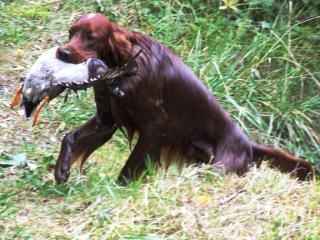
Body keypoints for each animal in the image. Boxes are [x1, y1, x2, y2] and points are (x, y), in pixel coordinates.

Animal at [53, 13, 316, 184]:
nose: (62, 52)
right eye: (71, 32)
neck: (125, 68)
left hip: (218, 169)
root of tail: (248, 145)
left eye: (91, 36)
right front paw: (62, 169)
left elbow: (131, 165)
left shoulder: (155, 125)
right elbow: (69, 137)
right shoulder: (107, 121)